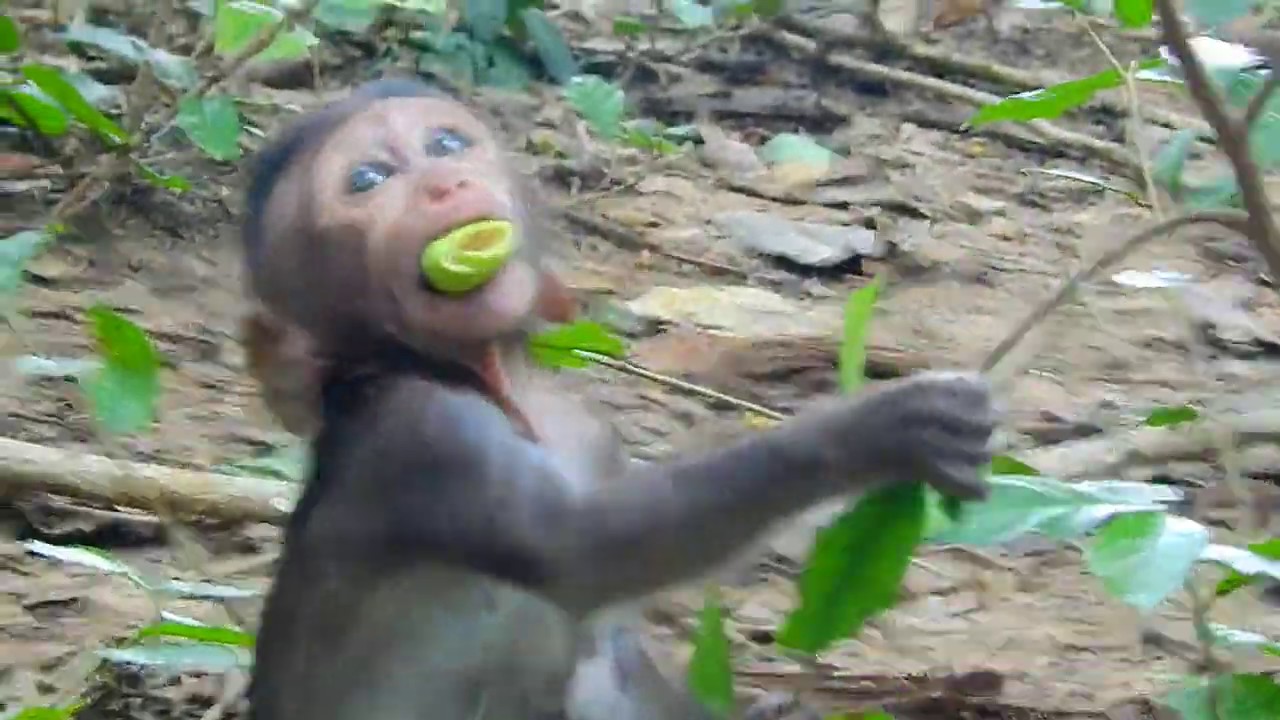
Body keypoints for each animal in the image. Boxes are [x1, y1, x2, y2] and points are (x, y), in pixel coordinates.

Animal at [237, 77, 996, 720]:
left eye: (445, 145)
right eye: (369, 179)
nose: (442, 183)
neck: (496, 385)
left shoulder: (588, 430)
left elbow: (617, 643)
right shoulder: (427, 433)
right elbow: (580, 553)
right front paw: (876, 430)